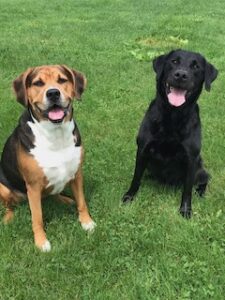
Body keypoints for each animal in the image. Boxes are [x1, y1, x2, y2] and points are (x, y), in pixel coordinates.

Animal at [0, 65, 96, 251]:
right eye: (38, 83)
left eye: (62, 80)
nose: (53, 93)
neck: (55, 134)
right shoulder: (33, 186)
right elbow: (37, 217)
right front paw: (41, 242)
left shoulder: (77, 174)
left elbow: (82, 202)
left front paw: (86, 222)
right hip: (4, 188)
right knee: (9, 206)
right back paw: (8, 218)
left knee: (54, 193)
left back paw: (66, 200)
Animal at [123, 49, 218, 218]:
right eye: (174, 61)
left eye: (196, 66)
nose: (181, 75)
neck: (173, 115)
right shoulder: (142, 150)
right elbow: (136, 177)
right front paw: (130, 196)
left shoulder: (191, 159)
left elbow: (187, 190)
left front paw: (185, 210)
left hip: (200, 170)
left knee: (204, 180)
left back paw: (200, 192)